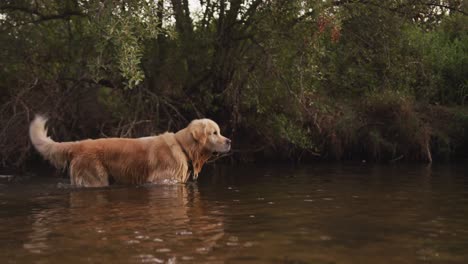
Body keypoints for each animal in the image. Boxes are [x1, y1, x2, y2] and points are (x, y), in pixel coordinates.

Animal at [28, 115, 230, 188]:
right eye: (214, 133)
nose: (229, 141)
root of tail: (79, 144)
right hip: (96, 179)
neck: (183, 147)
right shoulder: (161, 180)